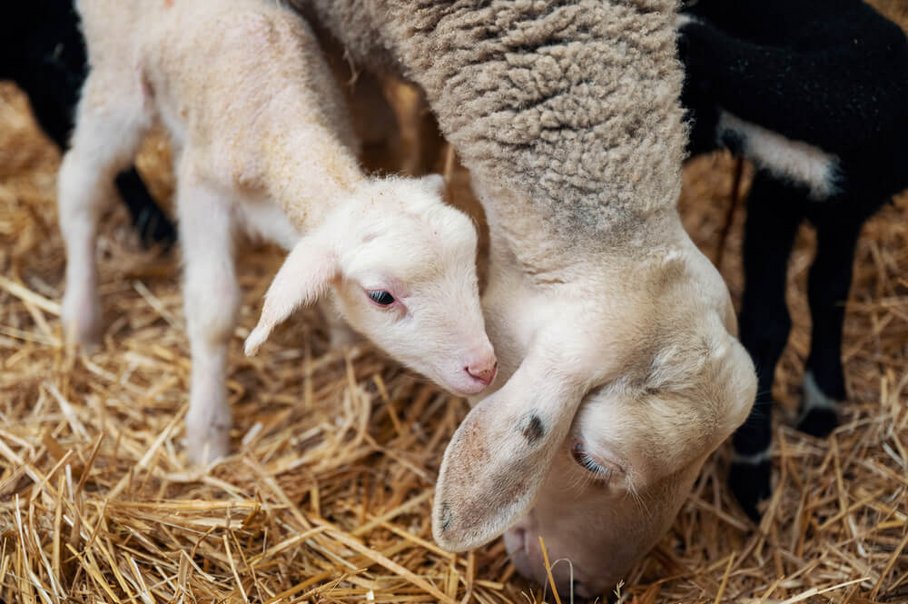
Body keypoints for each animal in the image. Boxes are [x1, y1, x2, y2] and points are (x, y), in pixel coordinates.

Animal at [59, 0, 494, 464]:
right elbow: (213, 309)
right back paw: (80, 319)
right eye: (381, 297)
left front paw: (343, 342)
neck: (276, 109)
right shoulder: (202, 192)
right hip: (117, 80)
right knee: (80, 188)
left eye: (472, 263)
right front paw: (207, 434)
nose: (484, 368)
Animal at [680, 0, 908, 520]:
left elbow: (830, 291)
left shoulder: (846, 207)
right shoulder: (776, 190)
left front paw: (822, 407)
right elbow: (768, 325)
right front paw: (752, 472)